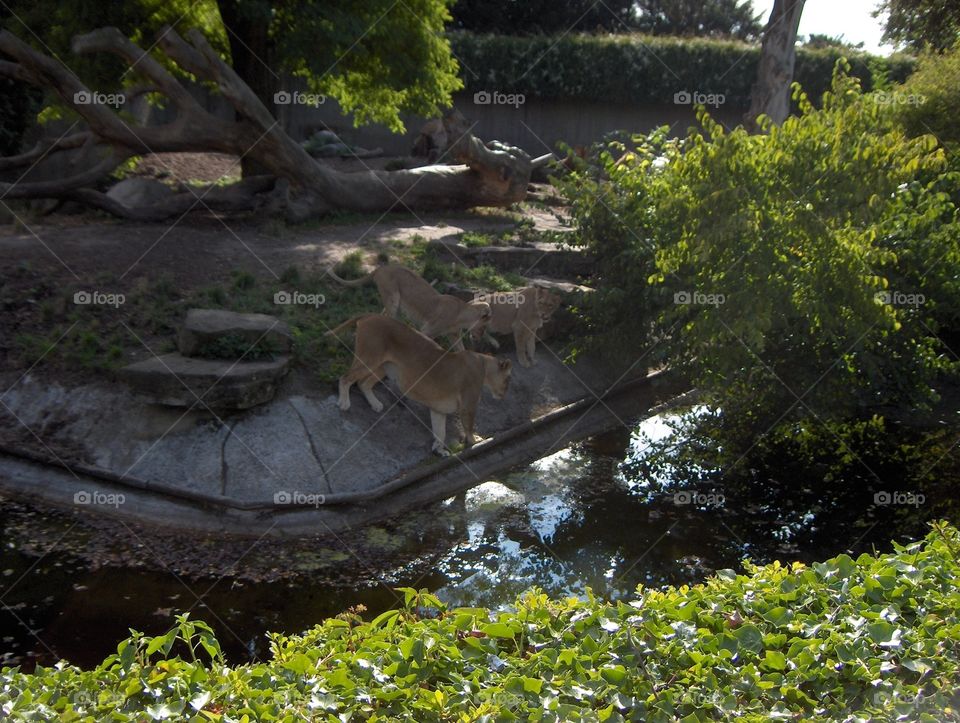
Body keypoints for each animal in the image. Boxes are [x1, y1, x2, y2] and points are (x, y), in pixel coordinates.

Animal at [326, 263, 491, 351]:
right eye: (483, 327)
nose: (479, 338)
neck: (462, 316)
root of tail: (381, 267)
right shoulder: (427, 330)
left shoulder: (454, 335)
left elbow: (461, 350)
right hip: (393, 297)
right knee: (388, 318)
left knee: (384, 315)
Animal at [326, 314, 512, 456]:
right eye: (508, 380)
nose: (504, 394)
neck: (483, 363)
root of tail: (369, 315)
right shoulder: (469, 405)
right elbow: (468, 427)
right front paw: (476, 442)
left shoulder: (438, 410)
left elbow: (440, 432)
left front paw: (439, 450)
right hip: (369, 359)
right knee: (345, 378)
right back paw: (344, 403)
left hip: (382, 367)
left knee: (363, 383)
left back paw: (375, 404)